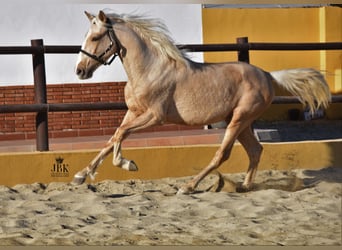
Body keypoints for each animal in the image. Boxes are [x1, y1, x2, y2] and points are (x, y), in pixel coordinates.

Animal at [74, 10, 332, 194]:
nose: (79, 71)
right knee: (255, 150)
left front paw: (127, 164)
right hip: (240, 121)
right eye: (85, 37)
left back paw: (188, 187)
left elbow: (121, 135)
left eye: (96, 37)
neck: (150, 69)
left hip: (239, 119)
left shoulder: (154, 116)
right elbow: (113, 137)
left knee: (222, 154)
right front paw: (81, 174)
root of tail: (267, 75)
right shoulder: (133, 112)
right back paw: (244, 186)